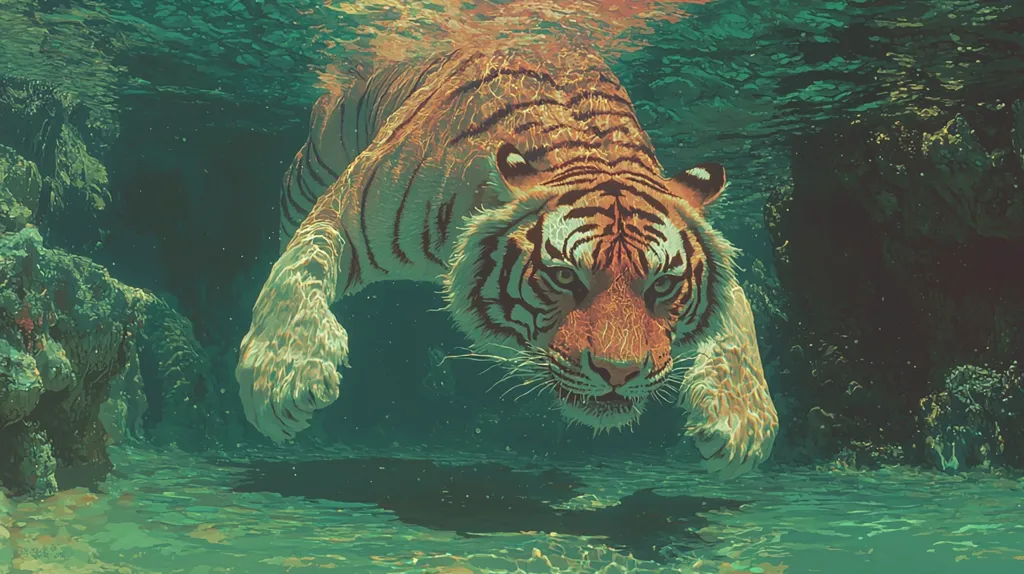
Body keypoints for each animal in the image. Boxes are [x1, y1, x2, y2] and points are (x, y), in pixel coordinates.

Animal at [236, 46, 778, 478]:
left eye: (662, 285)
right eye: (564, 277)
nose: (619, 372)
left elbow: (740, 309)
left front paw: (739, 423)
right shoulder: (346, 206)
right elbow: (300, 264)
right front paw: (285, 379)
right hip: (310, 170)